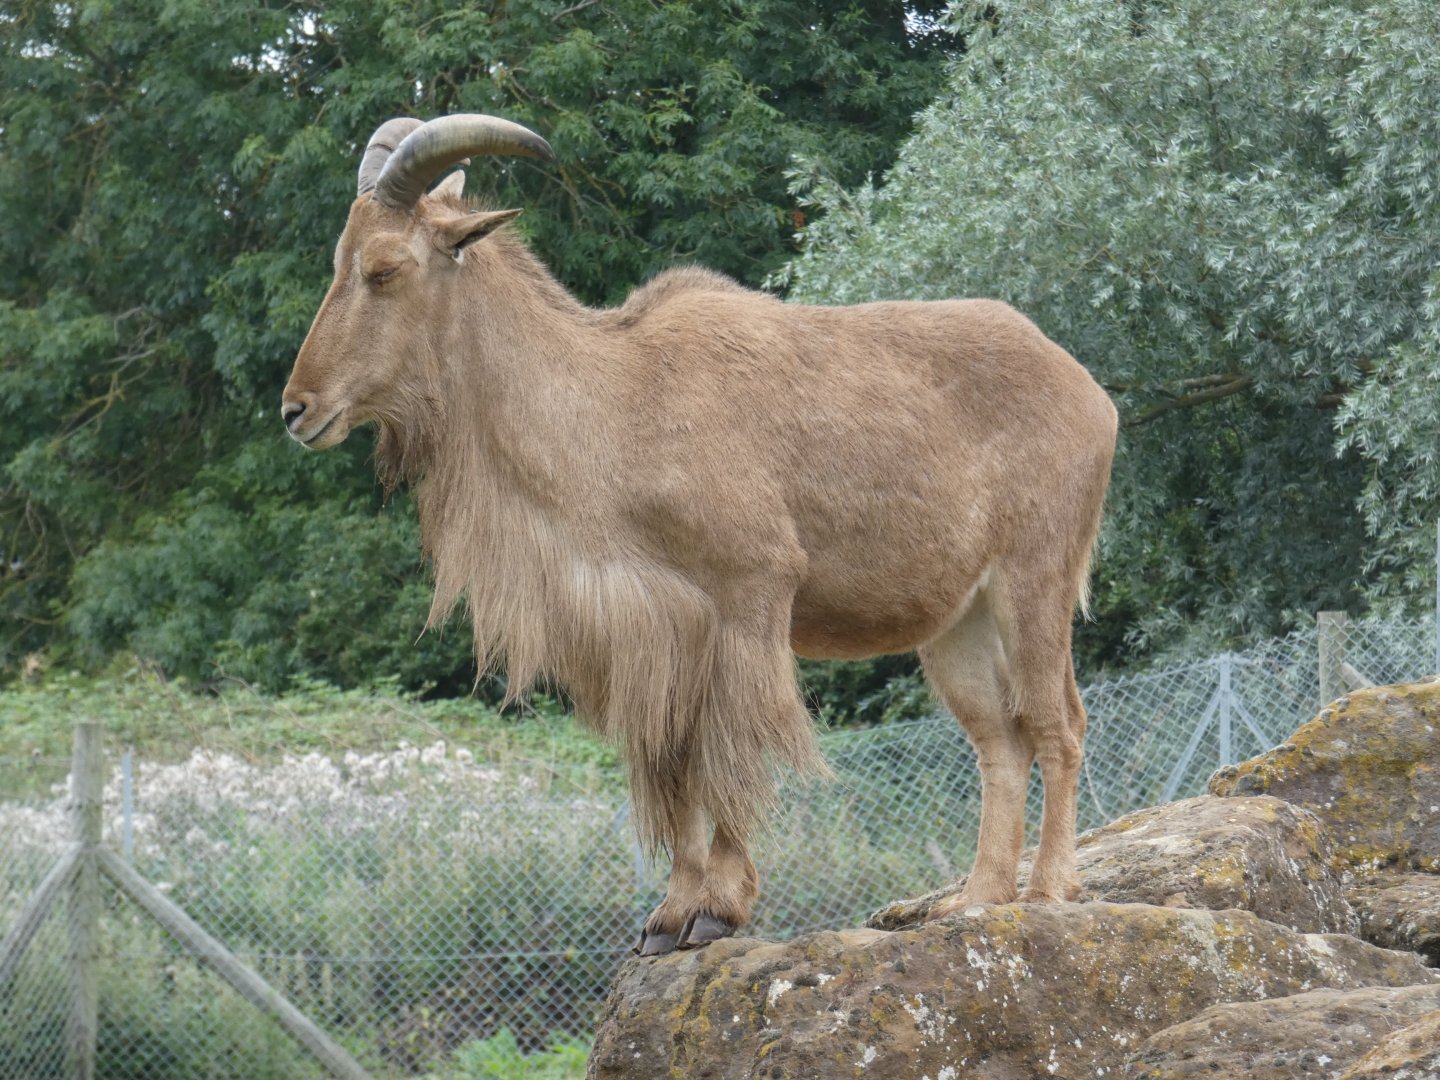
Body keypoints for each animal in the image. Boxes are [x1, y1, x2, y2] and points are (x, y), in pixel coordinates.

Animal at [281, 114, 1119, 955]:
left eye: (385, 269)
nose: (296, 409)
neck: (616, 403)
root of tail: (1089, 391)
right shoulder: (649, 635)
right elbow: (671, 768)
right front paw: (670, 914)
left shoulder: (748, 600)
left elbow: (729, 758)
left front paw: (719, 908)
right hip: (957, 625)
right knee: (1000, 743)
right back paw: (975, 900)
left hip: (1034, 578)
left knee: (1059, 725)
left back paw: (1048, 889)